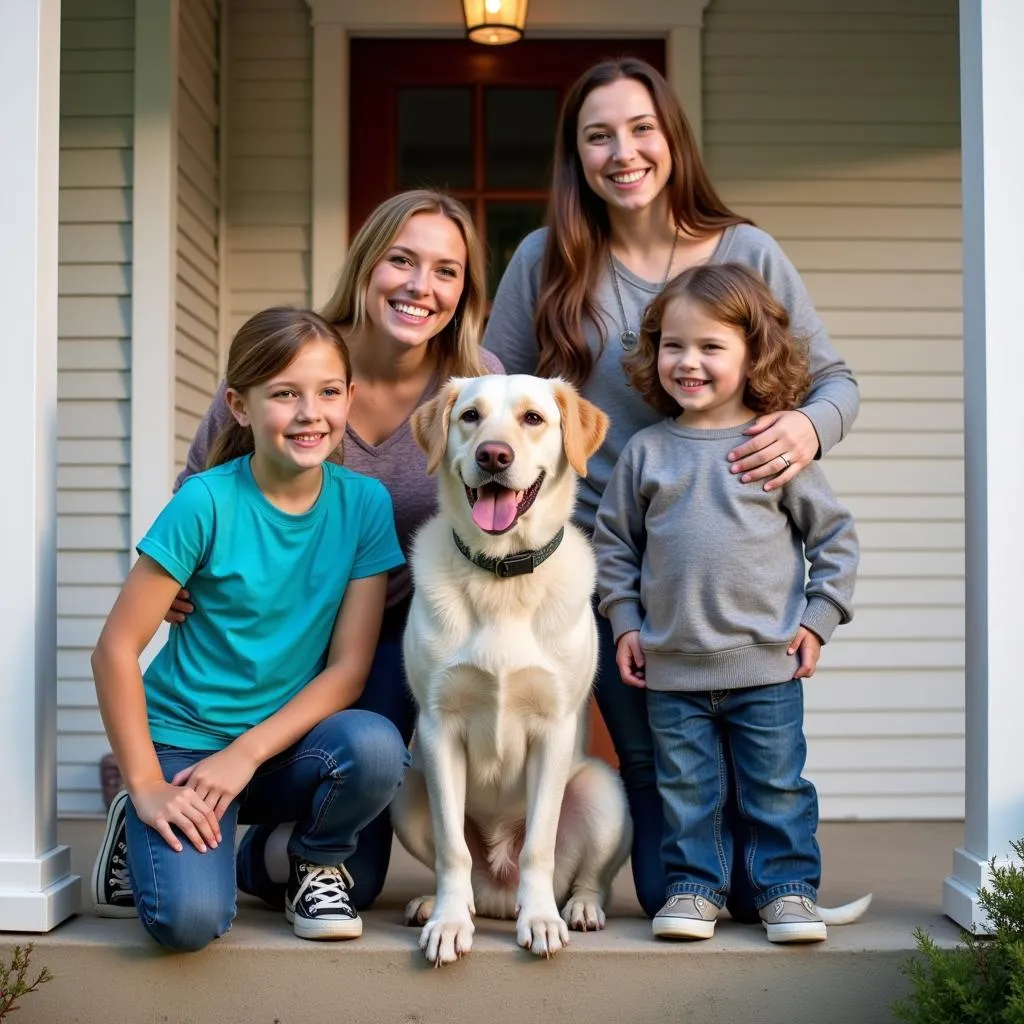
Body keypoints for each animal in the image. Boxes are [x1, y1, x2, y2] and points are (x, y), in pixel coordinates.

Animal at [391, 372, 630, 962]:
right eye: (470, 416)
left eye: (533, 418)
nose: (493, 455)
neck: (502, 573)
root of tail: (499, 893)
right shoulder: (439, 727)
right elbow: (452, 849)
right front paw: (449, 923)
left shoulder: (554, 728)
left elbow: (538, 846)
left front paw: (541, 919)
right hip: (409, 790)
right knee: (462, 868)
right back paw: (438, 903)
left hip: (603, 792)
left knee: (589, 877)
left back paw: (579, 908)